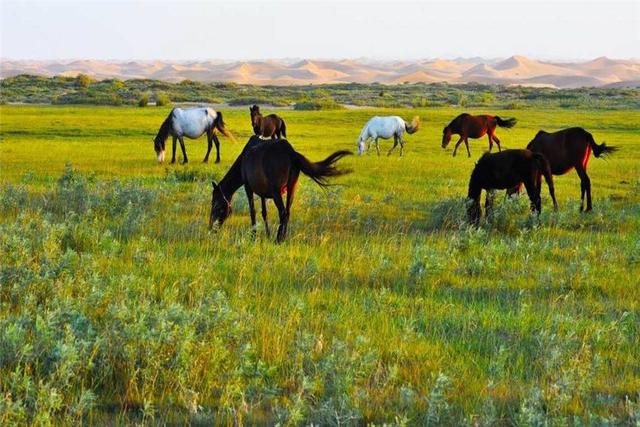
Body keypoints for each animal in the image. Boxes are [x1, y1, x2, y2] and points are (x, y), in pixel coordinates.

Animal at [209, 137, 350, 244]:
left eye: (216, 205)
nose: (211, 228)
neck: (243, 159)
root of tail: (291, 153)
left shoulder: (248, 187)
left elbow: (252, 211)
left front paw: (253, 236)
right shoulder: (262, 192)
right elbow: (264, 212)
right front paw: (267, 234)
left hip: (276, 192)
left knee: (282, 212)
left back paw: (278, 239)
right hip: (292, 188)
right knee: (287, 212)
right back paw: (283, 237)